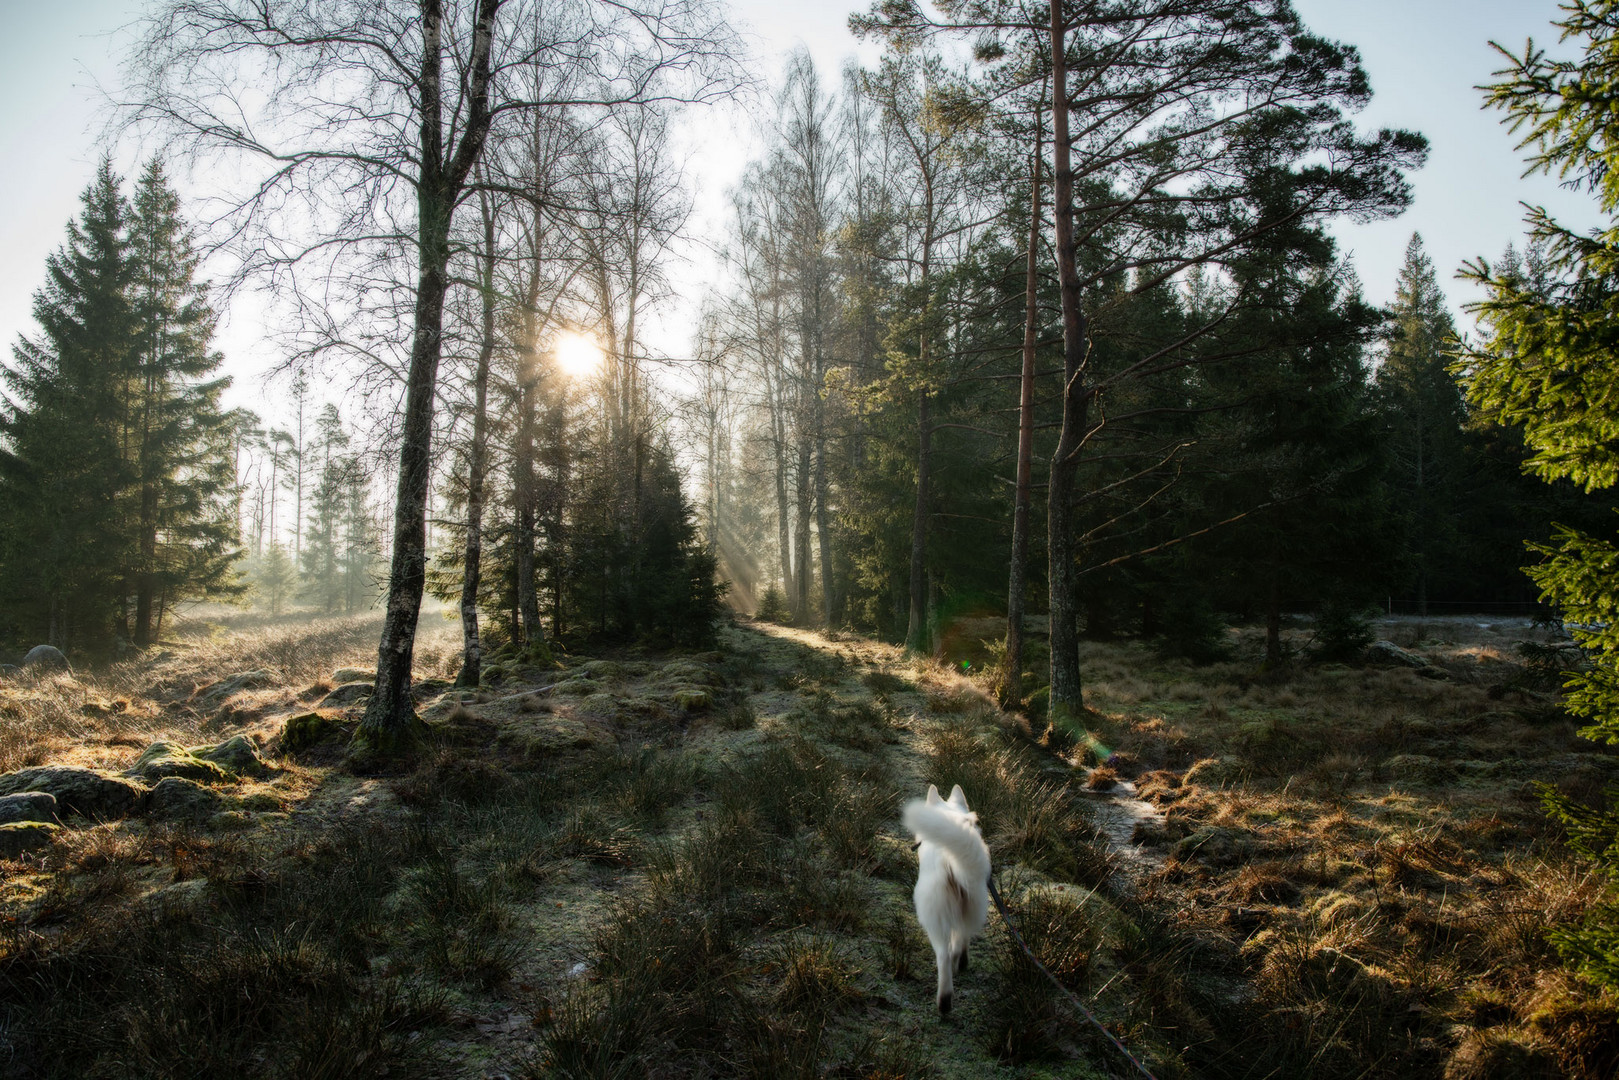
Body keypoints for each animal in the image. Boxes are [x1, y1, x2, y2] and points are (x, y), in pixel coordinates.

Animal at [906, 786, 990, 1016]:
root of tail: (950, 863)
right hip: (973, 905)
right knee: (961, 940)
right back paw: (960, 963)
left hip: (933, 917)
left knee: (943, 956)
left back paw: (943, 1002)